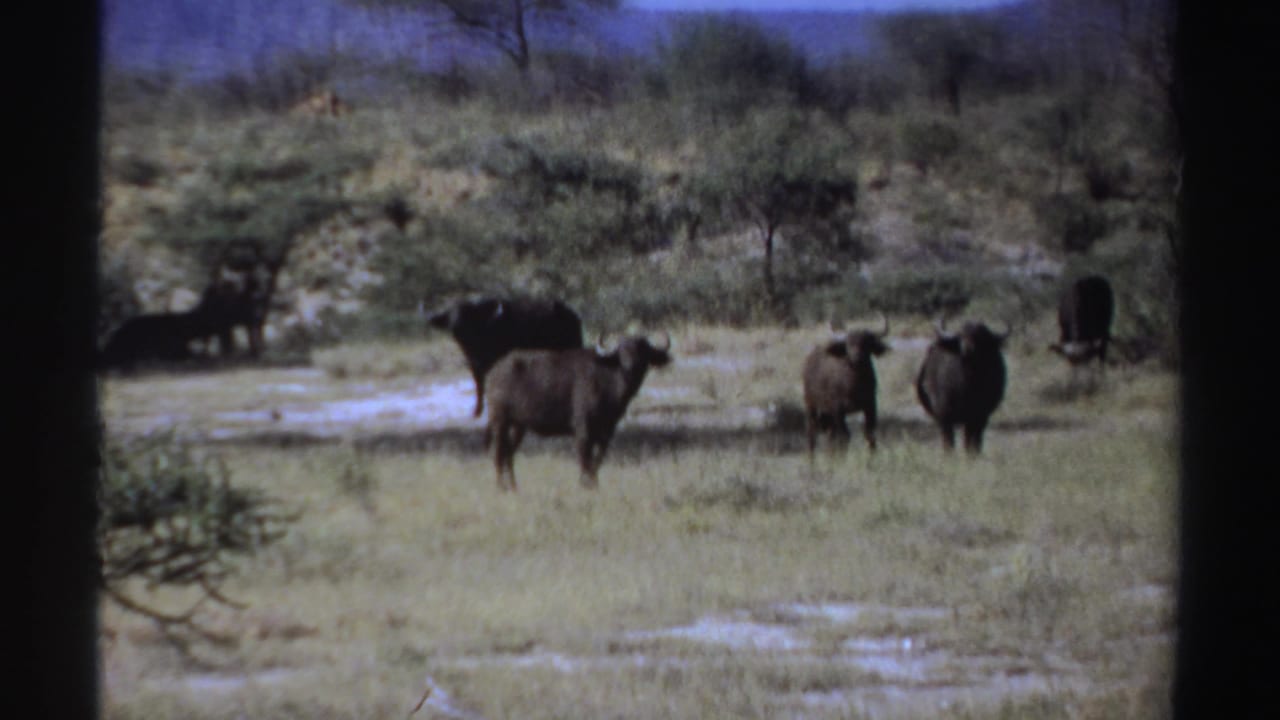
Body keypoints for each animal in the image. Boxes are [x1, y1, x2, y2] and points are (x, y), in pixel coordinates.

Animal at [424, 296, 584, 417]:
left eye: (468, 313)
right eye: (450, 314)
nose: (456, 325)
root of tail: (572, 315)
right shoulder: (475, 365)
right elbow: (479, 385)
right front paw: (477, 411)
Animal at [484, 332, 672, 491]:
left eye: (643, 350)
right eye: (622, 350)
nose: (631, 365)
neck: (608, 381)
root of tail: (494, 372)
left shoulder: (606, 432)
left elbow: (597, 460)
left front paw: (594, 484)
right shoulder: (583, 429)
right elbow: (585, 458)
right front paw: (585, 485)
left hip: (519, 425)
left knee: (508, 452)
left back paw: (513, 486)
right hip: (500, 421)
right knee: (497, 452)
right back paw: (501, 486)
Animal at [802, 316, 890, 459]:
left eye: (866, 343)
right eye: (848, 343)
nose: (856, 356)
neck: (854, 384)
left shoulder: (870, 405)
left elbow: (869, 433)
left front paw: (872, 457)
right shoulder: (838, 409)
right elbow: (844, 436)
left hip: (828, 414)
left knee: (830, 435)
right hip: (811, 406)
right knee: (812, 434)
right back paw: (812, 459)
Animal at [916, 318, 1010, 454]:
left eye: (980, 336)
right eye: (961, 335)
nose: (968, 348)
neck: (968, 385)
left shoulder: (979, 416)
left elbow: (972, 442)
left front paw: (972, 455)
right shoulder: (945, 416)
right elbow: (948, 442)